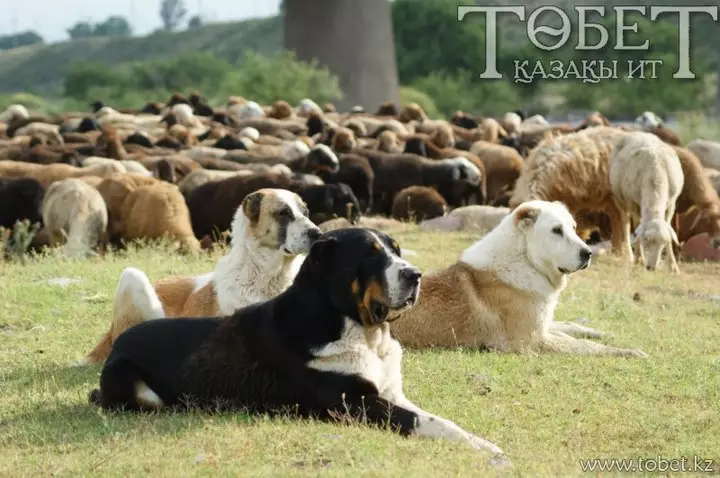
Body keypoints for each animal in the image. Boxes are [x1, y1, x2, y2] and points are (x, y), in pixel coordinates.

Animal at [90, 228, 504, 456]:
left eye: (396, 251)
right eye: (371, 256)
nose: (414, 275)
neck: (362, 333)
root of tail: (120, 340)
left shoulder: (389, 392)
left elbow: (438, 419)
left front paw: (482, 443)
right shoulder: (354, 403)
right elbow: (421, 421)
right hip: (126, 377)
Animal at [390, 200, 648, 356]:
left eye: (574, 228)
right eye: (556, 230)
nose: (588, 253)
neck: (526, 260)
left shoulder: (543, 324)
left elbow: (570, 327)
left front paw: (604, 333)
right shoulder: (532, 341)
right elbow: (584, 345)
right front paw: (628, 352)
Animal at [612, 131, 684, 272]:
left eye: (663, 243)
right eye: (646, 239)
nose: (651, 267)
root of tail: (637, 132)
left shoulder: (672, 204)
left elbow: (668, 228)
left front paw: (673, 266)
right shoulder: (633, 203)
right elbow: (637, 228)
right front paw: (639, 258)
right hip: (620, 199)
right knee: (626, 224)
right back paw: (630, 256)